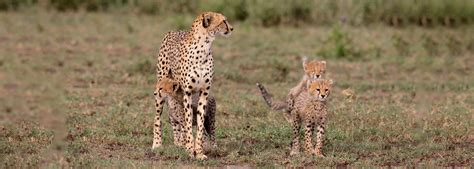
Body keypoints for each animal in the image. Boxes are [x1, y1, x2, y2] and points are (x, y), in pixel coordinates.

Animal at [153, 11, 232, 160]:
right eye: (223, 21)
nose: (231, 28)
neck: (204, 46)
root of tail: (174, 31)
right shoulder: (187, 93)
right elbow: (188, 123)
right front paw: (190, 150)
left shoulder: (204, 93)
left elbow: (200, 126)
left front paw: (199, 152)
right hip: (160, 91)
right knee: (157, 118)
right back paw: (157, 144)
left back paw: (178, 143)